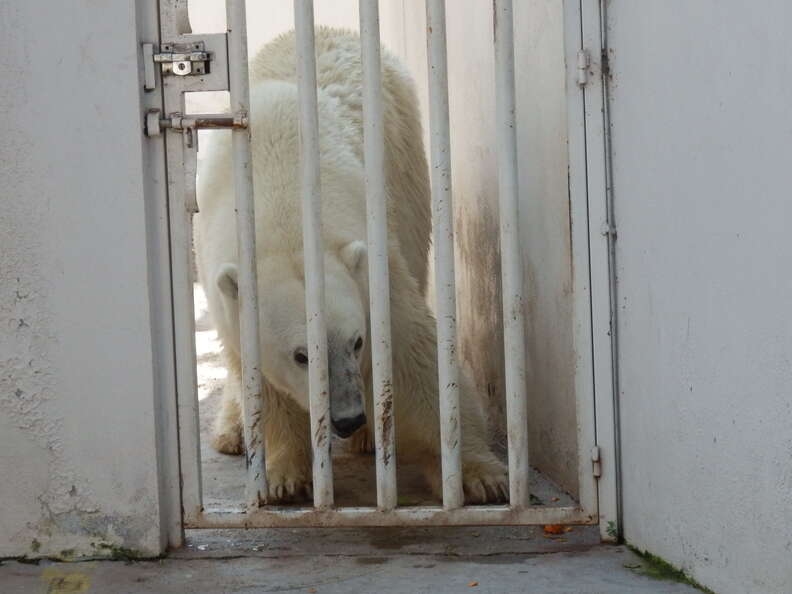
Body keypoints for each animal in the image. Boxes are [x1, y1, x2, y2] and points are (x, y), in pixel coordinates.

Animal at [194, 27, 507, 503]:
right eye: (302, 355)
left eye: (357, 342)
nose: (347, 419)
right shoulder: (227, 289)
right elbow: (262, 381)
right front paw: (286, 477)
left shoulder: (375, 265)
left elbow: (412, 353)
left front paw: (480, 474)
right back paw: (233, 432)